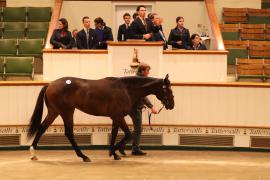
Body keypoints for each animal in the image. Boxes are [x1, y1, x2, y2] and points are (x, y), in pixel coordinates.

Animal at [27, 74, 174, 162]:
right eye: (167, 89)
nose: (171, 105)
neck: (125, 89)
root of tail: (50, 84)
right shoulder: (117, 116)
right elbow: (123, 134)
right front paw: (113, 152)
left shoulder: (117, 117)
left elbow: (120, 133)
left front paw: (115, 153)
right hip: (66, 112)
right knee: (68, 133)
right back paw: (84, 156)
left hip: (54, 112)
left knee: (42, 128)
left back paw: (33, 154)